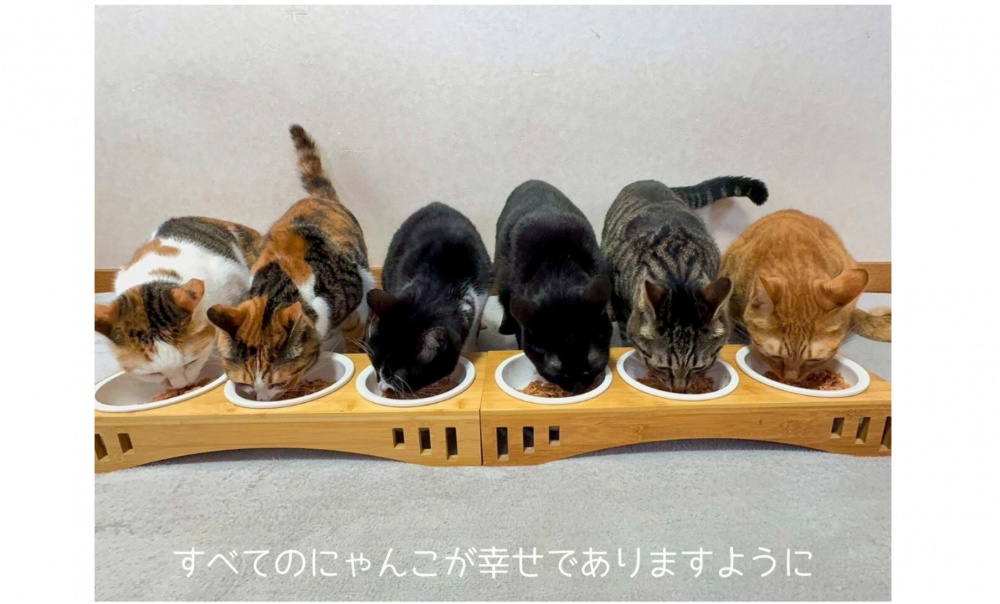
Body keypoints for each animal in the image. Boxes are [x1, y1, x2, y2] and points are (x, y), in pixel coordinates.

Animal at [207, 125, 374, 401]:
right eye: (244, 384)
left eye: (279, 383)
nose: (263, 400)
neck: (279, 288)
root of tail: (319, 199)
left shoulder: (353, 302)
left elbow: (354, 334)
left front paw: (354, 350)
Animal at [364, 202, 493, 394]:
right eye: (374, 361)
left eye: (396, 376)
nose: (382, 386)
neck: (441, 284)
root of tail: (435, 204)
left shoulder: (482, 294)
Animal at [495, 180, 613, 394]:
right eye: (556, 371)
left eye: (591, 365)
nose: (577, 387)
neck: (557, 265)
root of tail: (531, 181)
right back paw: (505, 326)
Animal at [602, 177, 768, 391]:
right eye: (662, 367)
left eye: (699, 367)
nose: (679, 389)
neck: (678, 272)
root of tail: (651, 180)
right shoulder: (619, 297)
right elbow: (624, 330)